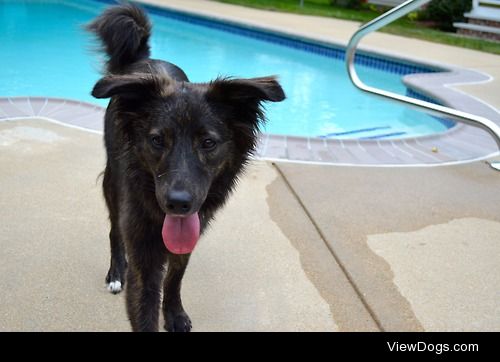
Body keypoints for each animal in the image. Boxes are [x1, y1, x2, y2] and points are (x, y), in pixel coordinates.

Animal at [87, 3, 286, 330]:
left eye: (208, 142)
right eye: (157, 140)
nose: (178, 203)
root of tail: (144, 58)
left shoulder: (189, 233)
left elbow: (175, 277)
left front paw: (174, 313)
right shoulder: (143, 252)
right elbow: (145, 307)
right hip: (112, 183)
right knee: (114, 230)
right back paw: (116, 272)